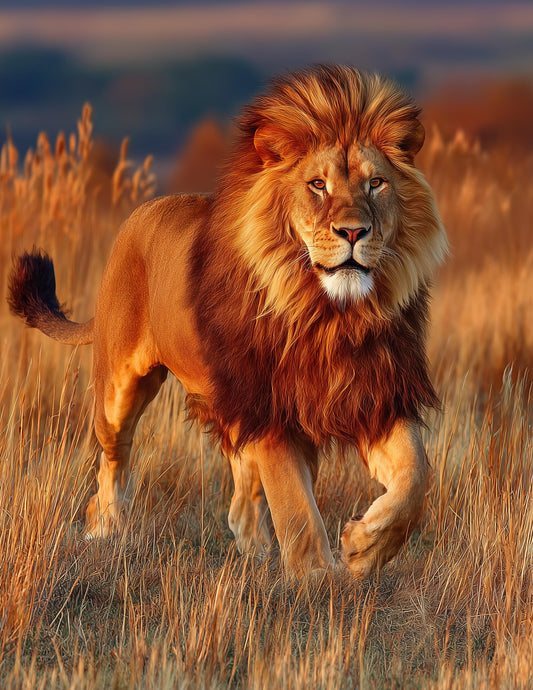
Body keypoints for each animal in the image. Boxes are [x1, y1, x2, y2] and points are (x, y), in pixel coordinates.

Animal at [8, 65, 447, 578]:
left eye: (376, 183)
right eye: (318, 185)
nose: (354, 232)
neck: (328, 314)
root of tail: (140, 214)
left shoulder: (374, 395)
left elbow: (416, 479)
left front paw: (363, 548)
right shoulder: (270, 409)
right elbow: (298, 510)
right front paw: (318, 579)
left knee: (242, 494)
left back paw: (254, 549)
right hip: (119, 389)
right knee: (112, 462)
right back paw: (106, 530)